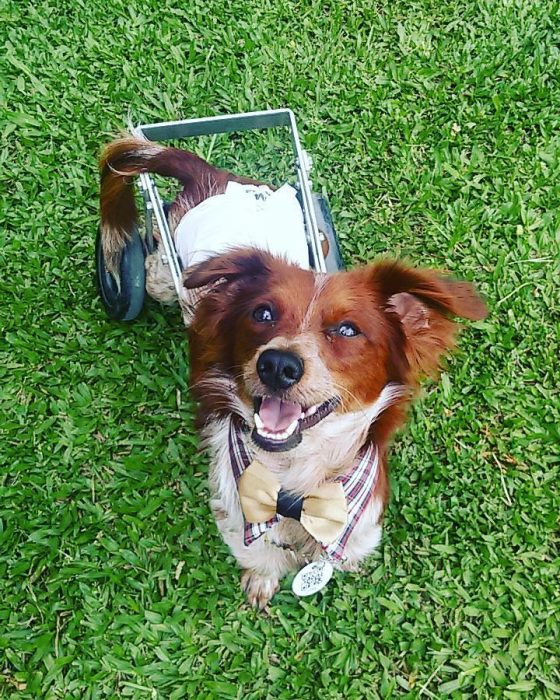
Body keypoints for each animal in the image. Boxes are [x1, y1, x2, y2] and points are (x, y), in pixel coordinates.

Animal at [99, 135, 486, 608]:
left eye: (348, 329)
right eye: (262, 313)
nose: (278, 364)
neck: (295, 484)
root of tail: (213, 178)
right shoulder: (235, 509)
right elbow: (256, 551)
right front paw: (262, 578)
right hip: (162, 277)